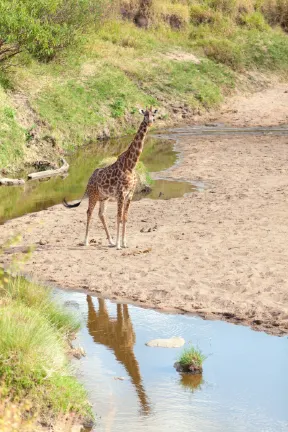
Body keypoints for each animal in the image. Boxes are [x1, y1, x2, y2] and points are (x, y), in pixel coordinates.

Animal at [63, 106, 158, 250]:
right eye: (145, 114)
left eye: (153, 114)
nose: (151, 122)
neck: (130, 165)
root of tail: (89, 179)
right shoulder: (121, 193)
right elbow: (118, 217)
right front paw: (119, 245)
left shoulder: (129, 194)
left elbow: (125, 217)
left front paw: (123, 243)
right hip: (93, 195)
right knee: (89, 212)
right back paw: (86, 241)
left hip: (104, 197)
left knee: (101, 214)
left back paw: (110, 241)